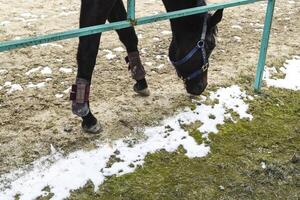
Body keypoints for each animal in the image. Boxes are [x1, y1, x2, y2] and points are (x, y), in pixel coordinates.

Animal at [70, 0, 223, 134]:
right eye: (210, 44)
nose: (201, 86)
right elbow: (88, 50)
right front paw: (87, 116)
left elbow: (128, 35)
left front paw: (141, 81)